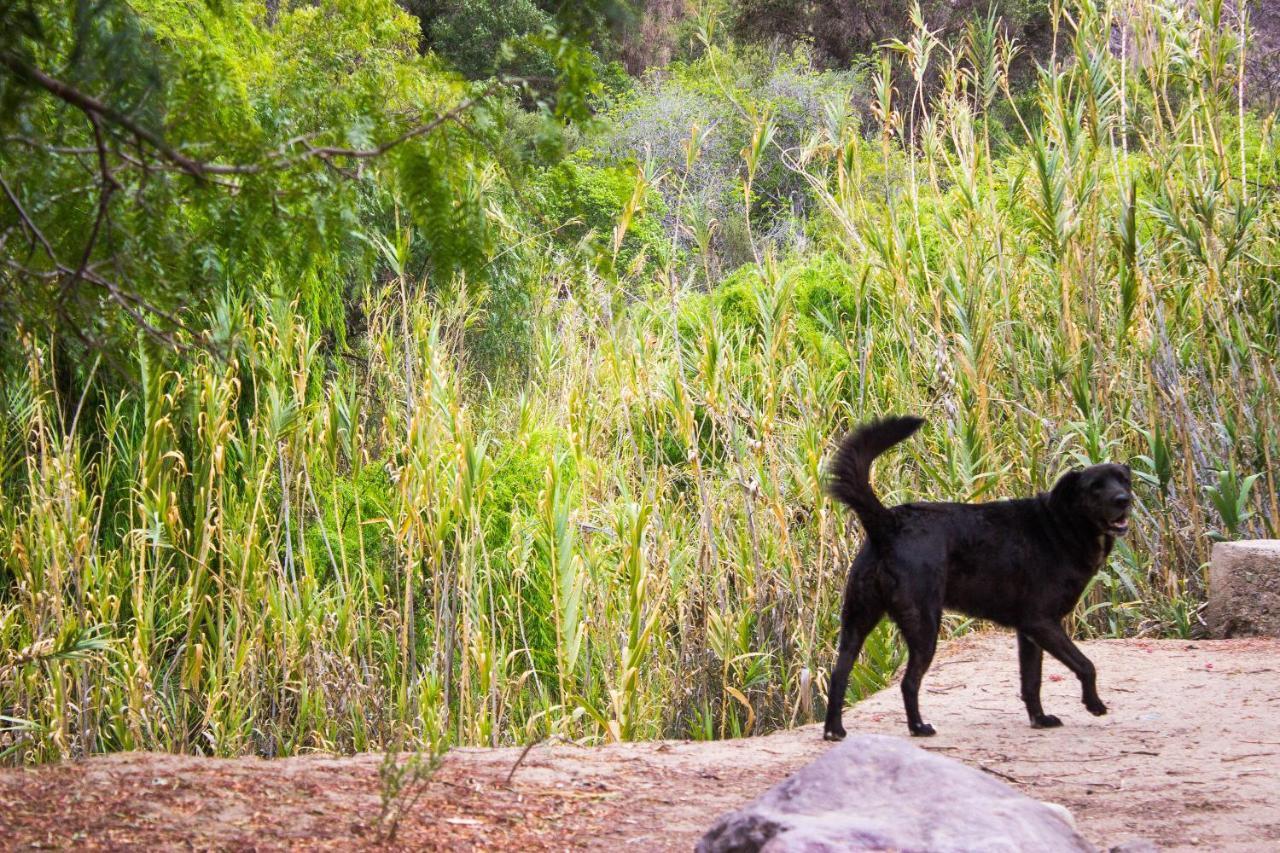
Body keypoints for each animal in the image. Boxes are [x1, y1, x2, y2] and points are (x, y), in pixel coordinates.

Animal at [819, 412, 1131, 737]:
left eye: (1124, 480)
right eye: (1096, 486)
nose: (1125, 499)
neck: (1061, 524)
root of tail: (888, 522)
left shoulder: (1030, 632)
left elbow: (1031, 682)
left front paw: (1039, 718)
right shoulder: (1043, 622)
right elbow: (1086, 664)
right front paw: (1094, 704)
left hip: (858, 619)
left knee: (838, 673)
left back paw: (834, 730)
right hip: (924, 625)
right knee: (909, 682)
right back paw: (919, 727)